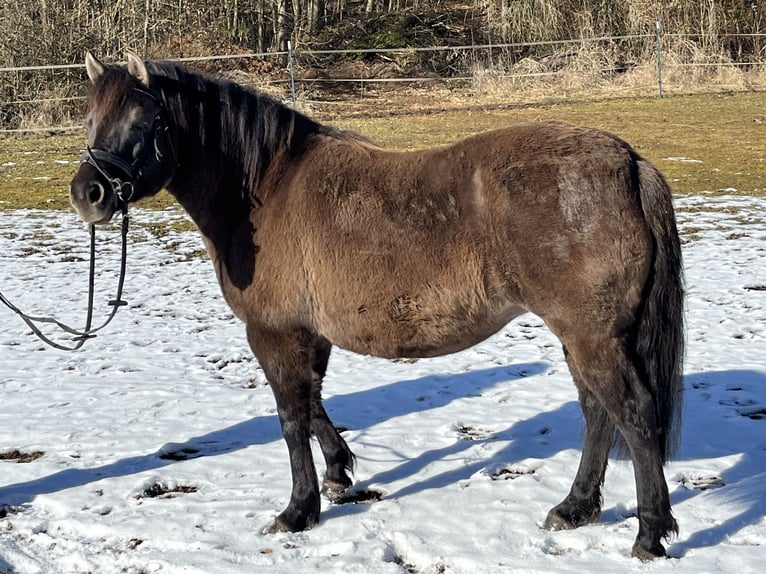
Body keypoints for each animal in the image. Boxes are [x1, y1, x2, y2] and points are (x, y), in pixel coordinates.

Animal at [69, 53, 688, 564]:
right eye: (90, 119)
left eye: (143, 123)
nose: (87, 195)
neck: (265, 188)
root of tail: (629, 162)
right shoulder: (309, 333)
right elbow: (314, 404)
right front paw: (338, 474)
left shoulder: (274, 333)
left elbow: (291, 418)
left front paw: (298, 511)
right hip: (582, 337)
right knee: (597, 414)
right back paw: (575, 508)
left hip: (592, 337)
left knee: (633, 415)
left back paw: (649, 534)